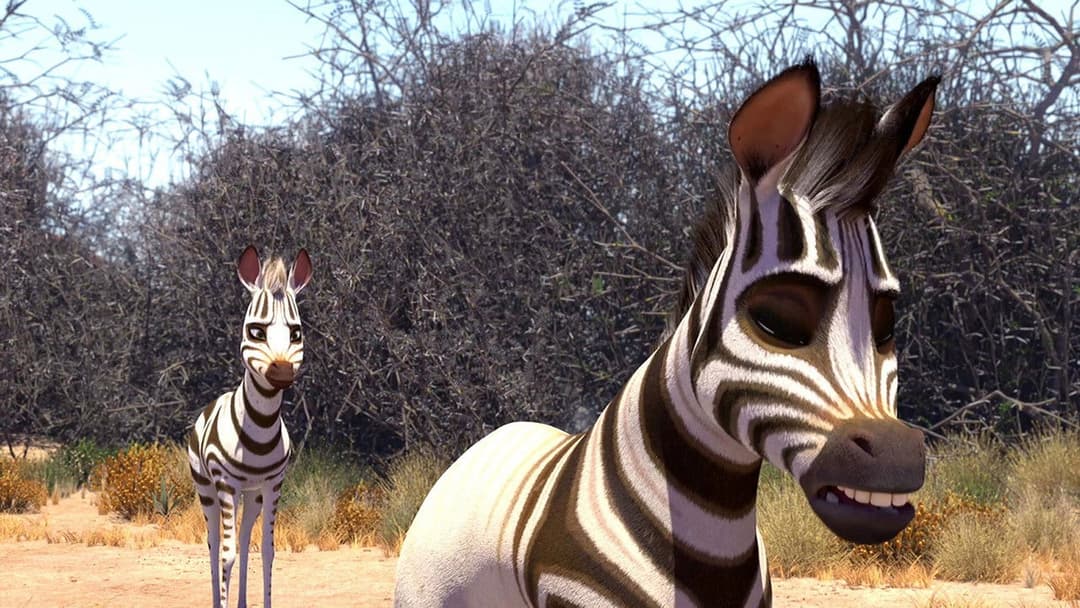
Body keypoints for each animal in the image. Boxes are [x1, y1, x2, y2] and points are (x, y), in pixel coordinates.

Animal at [187, 245, 312, 608]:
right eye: (256, 331)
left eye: (296, 333)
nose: (281, 372)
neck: (259, 426)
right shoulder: (224, 481)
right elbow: (226, 554)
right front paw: (223, 602)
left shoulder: (273, 484)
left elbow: (267, 551)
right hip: (207, 487)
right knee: (215, 542)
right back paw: (218, 599)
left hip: (250, 494)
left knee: (244, 539)